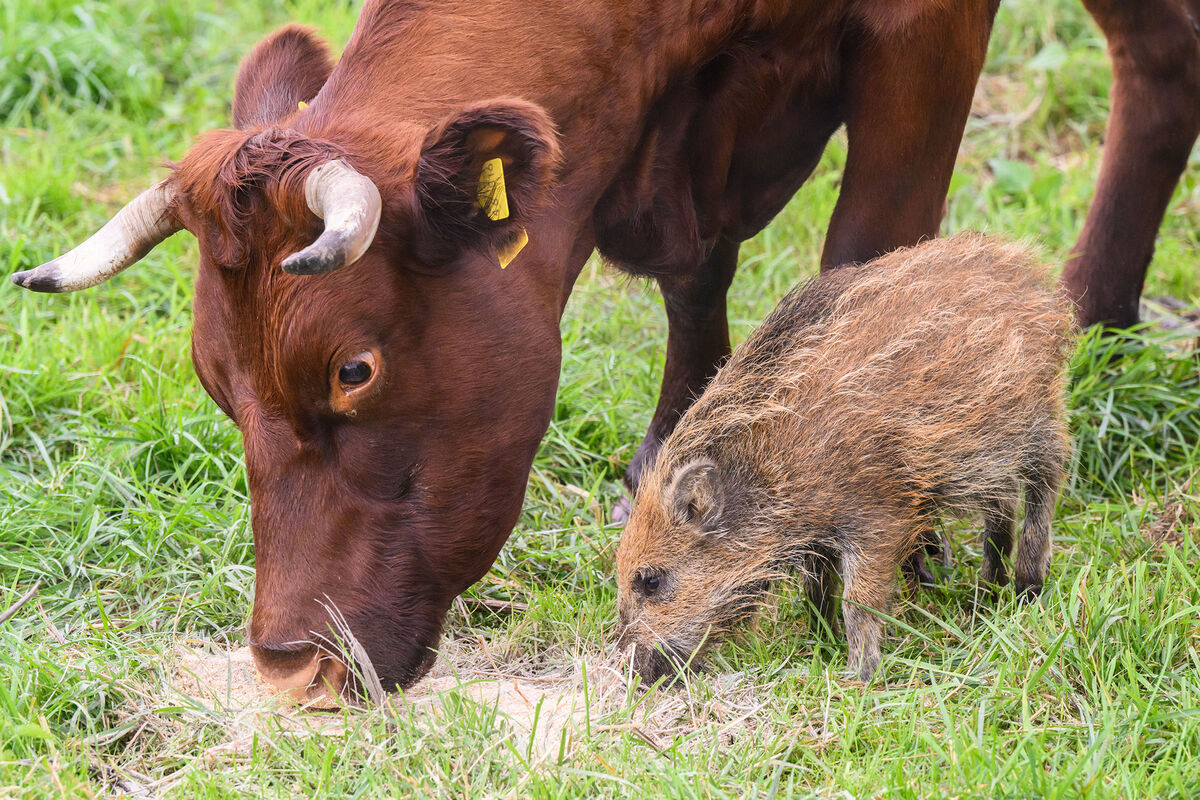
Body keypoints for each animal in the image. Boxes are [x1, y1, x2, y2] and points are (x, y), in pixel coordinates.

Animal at [11, 1, 1200, 695]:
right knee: (1164, 54)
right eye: (216, 382)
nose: (288, 670)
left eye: (354, 369)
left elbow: (867, 259)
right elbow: (699, 294)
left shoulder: (921, 42)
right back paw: (1091, 315)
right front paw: (668, 459)